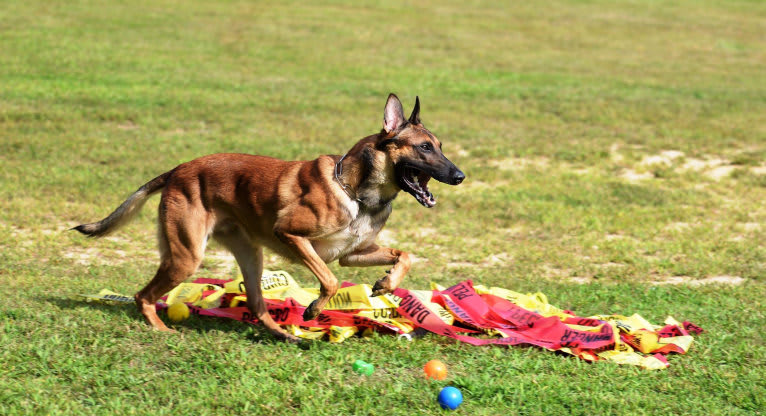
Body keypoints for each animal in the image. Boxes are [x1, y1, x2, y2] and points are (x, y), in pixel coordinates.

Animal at [73, 94, 468, 342]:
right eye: (424, 147)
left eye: (441, 147)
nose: (460, 176)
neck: (356, 192)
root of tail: (176, 170)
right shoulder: (292, 235)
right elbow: (329, 281)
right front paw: (313, 309)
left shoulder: (353, 254)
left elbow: (405, 255)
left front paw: (386, 283)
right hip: (187, 257)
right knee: (142, 295)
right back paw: (160, 329)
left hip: (251, 256)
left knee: (257, 305)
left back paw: (285, 336)